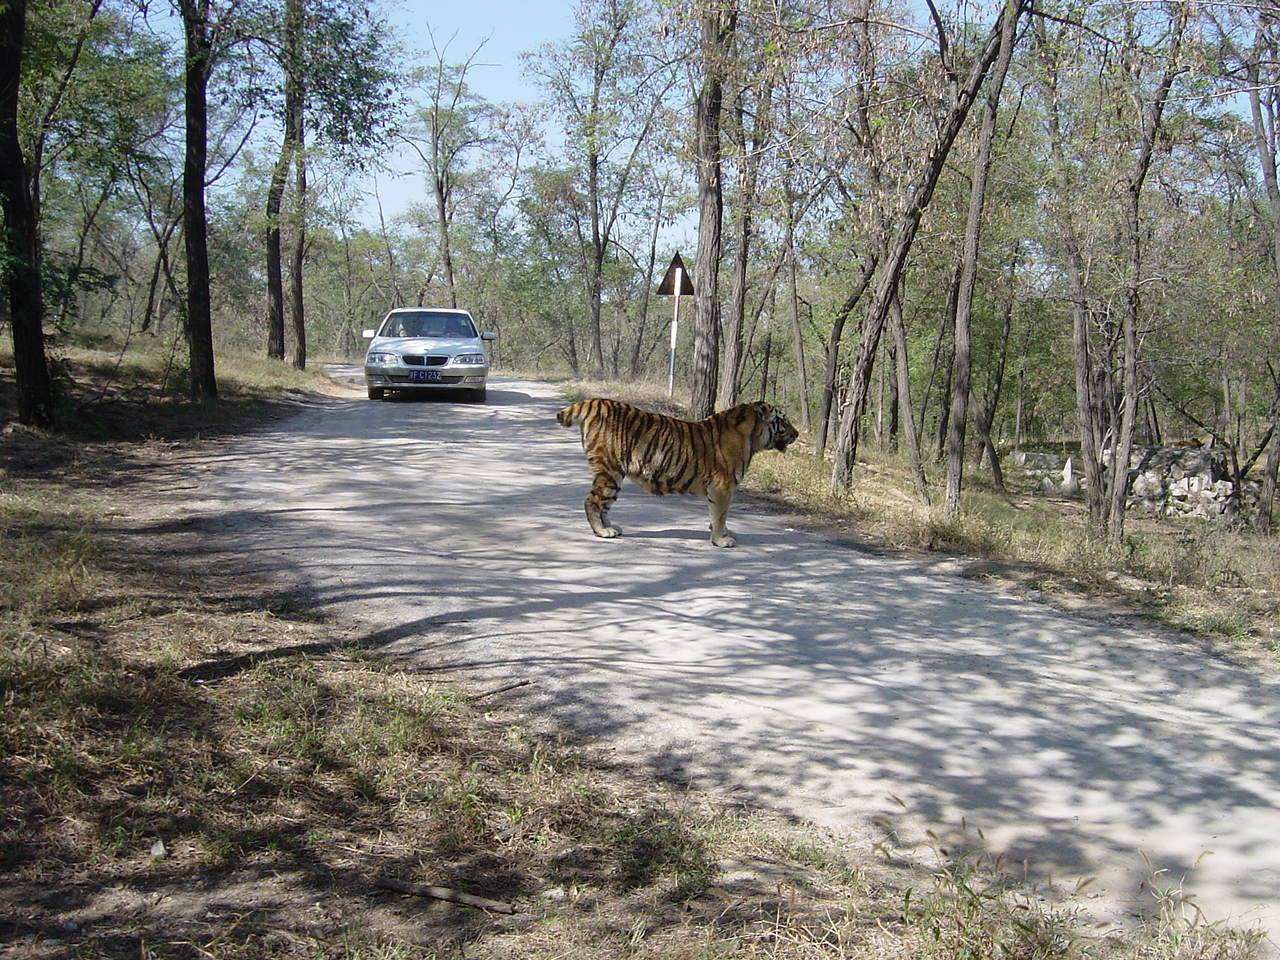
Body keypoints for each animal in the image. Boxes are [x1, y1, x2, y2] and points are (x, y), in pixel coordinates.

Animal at [555, 399, 793, 547]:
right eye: (784, 421)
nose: (797, 433)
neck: (752, 437)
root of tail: (593, 402)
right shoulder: (722, 487)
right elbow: (720, 514)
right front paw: (721, 540)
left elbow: (718, 515)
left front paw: (724, 533)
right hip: (610, 472)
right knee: (592, 502)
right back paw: (602, 532)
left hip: (615, 476)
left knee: (604, 504)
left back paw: (610, 528)